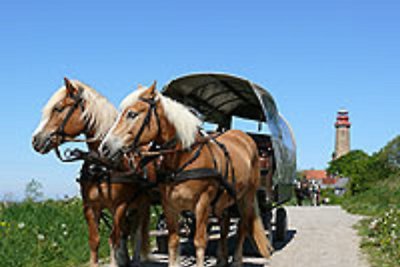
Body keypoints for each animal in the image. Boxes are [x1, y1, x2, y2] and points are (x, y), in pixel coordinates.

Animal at [31, 78, 152, 267]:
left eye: (58, 108)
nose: (36, 140)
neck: (102, 164)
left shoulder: (119, 206)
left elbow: (114, 239)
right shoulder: (90, 207)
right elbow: (95, 240)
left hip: (142, 205)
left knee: (137, 234)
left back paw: (136, 260)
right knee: (127, 232)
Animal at [99, 82, 272, 267]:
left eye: (132, 114)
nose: (105, 147)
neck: (183, 158)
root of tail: (246, 138)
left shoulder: (202, 203)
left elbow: (199, 241)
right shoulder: (169, 205)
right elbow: (173, 241)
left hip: (246, 197)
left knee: (243, 226)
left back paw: (237, 260)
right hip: (225, 199)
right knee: (225, 225)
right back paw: (221, 259)